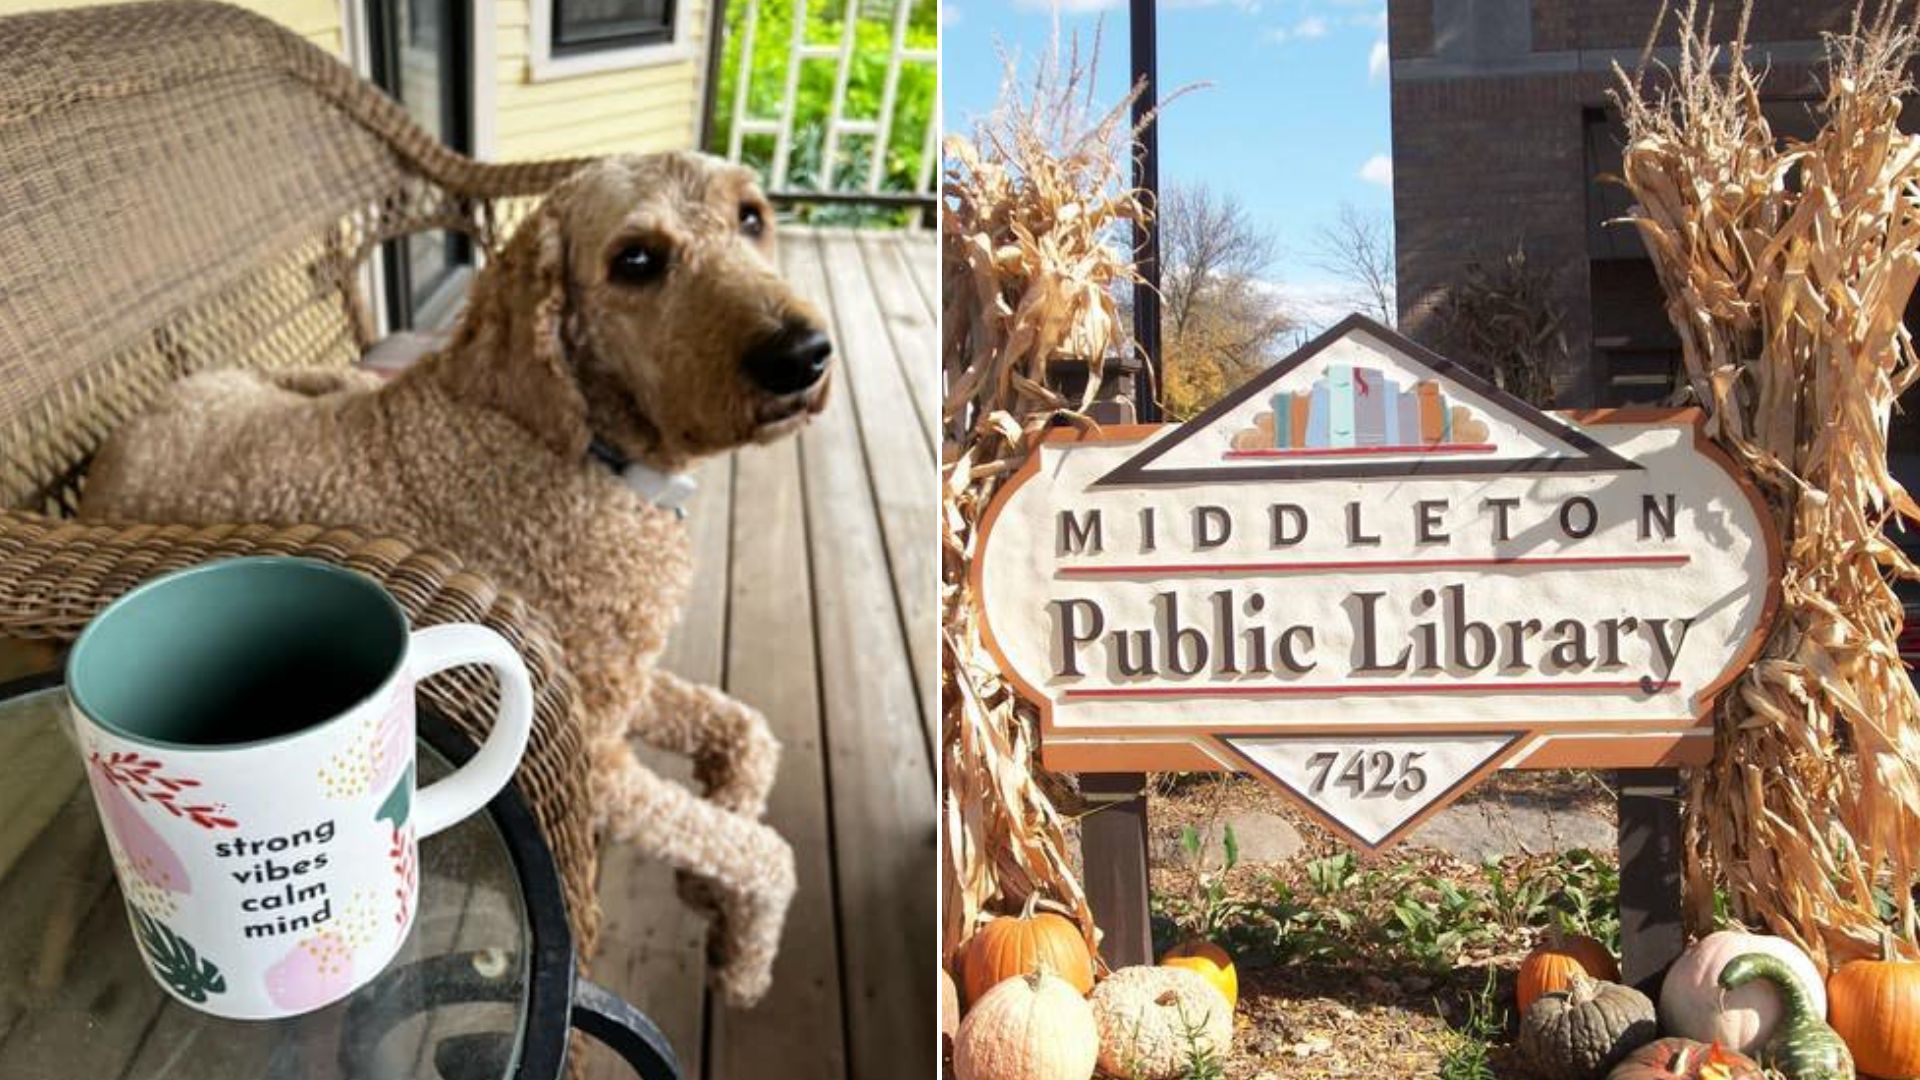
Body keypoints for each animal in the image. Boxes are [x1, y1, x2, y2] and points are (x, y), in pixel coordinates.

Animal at [78, 148, 829, 999]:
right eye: (636, 261)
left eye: (752, 218)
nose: (802, 354)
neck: (574, 441)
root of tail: (112, 450)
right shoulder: (600, 760)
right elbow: (765, 853)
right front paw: (745, 958)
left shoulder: (625, 685)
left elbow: (748, 734)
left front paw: (709, 892)